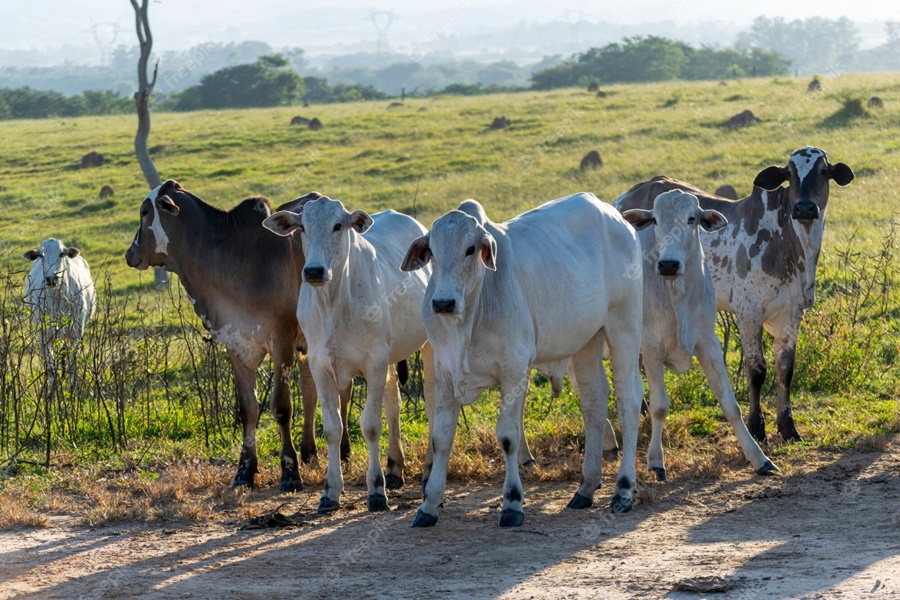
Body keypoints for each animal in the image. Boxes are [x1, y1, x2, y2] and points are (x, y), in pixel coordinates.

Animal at [23, 238, 96, 370]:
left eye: (62, 254)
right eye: (41, 255)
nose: (51, 278)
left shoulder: (77, 332)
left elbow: (72, 364)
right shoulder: (43, 335)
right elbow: (50, 366)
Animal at [262, 198, 434, 516]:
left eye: (338, 225)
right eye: (302, 227)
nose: (314, 271)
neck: (334, 302)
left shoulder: (374, 362)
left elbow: (371, 426)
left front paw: (376, 490)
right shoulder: (319, 365)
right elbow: (333, 428)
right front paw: (330, 492)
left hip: (429, 344)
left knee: (431, 402)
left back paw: (428, 473)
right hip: (390, 358)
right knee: (393, 402)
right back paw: (395, 469)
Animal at [402, 195, 648, 528]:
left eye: (470, 249)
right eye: (433, 252)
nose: (443, 302)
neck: (469, 318)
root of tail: (615, 215)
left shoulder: (514, 369)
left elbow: (508, 437)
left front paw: (512, 503)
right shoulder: (445, 371)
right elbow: (440, 438)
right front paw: (428, 505)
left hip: (624, 324)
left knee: (629, 398)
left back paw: (623, 490)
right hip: (586, 340)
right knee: (594, 400)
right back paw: (586, 487)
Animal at [616, 147, 856, 442]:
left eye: (824, 171)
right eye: (789, 174)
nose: (804, 208)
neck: (790, 244)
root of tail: (622, 200)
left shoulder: (792, 313)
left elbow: (785, 369)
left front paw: (788, 426)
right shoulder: (749, 311)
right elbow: (757, 370)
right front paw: (756, 426)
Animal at [624, 192, 776, 482]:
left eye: (691, 218)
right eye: (655, 220)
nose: (668, 264)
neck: (678, 294)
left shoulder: (708, 343)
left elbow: (730, 404)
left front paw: (759, 458)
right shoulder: (651, 347)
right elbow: (660, 406)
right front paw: (656, 461)